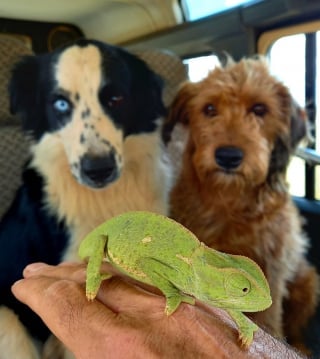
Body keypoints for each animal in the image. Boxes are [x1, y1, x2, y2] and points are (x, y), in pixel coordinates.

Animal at [164, 57, 318, 352]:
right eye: (209, 108)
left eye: (260, 109)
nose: (228, 156)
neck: (229, 199)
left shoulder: (273, 265)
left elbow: (269, 314)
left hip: (308, 282)